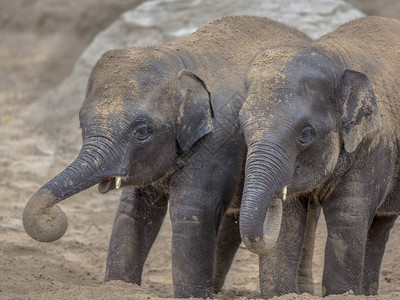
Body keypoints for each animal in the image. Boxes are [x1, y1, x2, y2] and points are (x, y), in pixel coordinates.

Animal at [21, 17, 312, 300]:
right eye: (81, 124)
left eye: (142, 131)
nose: (54, 217)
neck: (178, 58)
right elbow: (133, 212)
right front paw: (119, 289)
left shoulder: (219, 141)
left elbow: (191, 212)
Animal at [238, 16, 400, 298]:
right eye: (242, 125)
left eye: (305, 133)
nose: (272, 202)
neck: (331, 55)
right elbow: (288, 222)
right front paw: (282, 294)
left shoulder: (373, 144)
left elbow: (347, 217)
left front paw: (340, 293)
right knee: (382, 223)